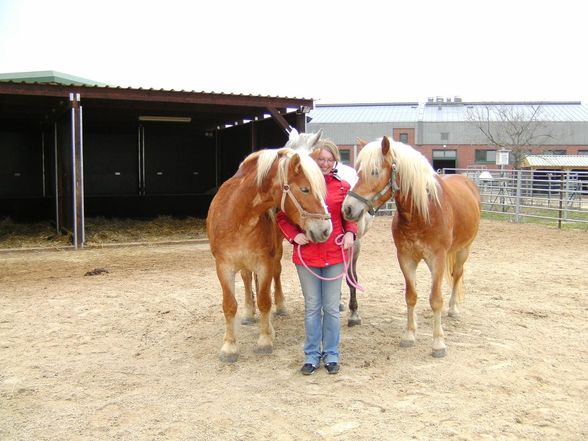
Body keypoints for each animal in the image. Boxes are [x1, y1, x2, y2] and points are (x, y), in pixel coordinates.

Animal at [208, 147, 330, 360]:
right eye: (305, 189)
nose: (325, 230)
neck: (238, 216)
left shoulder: (264, 262)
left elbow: (265, 300)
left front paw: (265, 340)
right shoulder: (223, 266)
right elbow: (229, 305)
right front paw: (229, 347)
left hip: (276, 254)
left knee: (276, 275)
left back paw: (279, 308)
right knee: (247, 279)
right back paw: (249, 312)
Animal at [342, 137, 480, 358]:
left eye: (374, 172)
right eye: (358, 172)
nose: (347, 208)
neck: (423, 212)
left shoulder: (437, 260)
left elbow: (435, 300)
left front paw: (438, 343)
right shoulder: (406, 258)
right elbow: (411, 296)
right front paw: (409, 334)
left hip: (463, 250)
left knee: (457, 275)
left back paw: (453, 309)